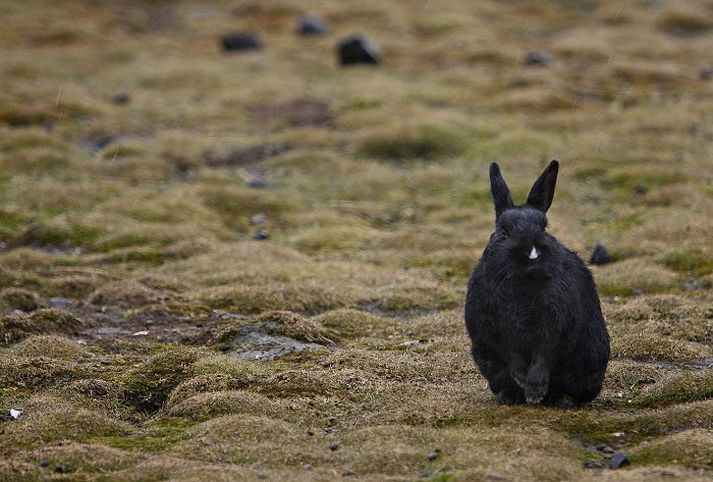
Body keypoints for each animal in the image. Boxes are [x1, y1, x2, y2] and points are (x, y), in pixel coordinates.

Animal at [464, 162, 608, 406]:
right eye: (504, 231)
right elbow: (512, 354)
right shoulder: (496, 329)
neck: (524, 282)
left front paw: (534, 390)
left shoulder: (555, 325)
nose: (532, 253)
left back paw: (561, 400)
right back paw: (509, 397)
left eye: (544, 227)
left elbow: (544, 354)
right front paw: (524, 383)